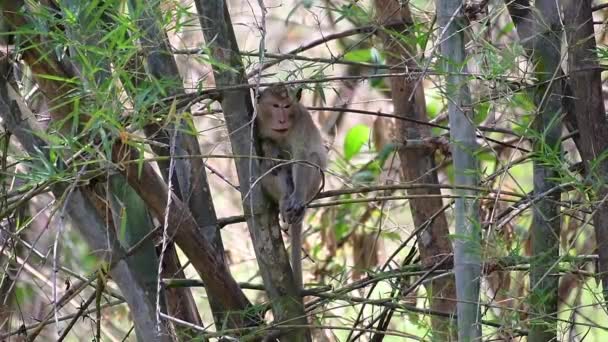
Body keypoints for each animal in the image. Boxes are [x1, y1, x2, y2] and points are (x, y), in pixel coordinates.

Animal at [253, 85, 326, 292]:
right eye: (275, 106)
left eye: (286, 106)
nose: (282, 119)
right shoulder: (257, 123)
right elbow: (265, 144)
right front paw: (270, 148)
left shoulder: (302, 121)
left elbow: (302, 157)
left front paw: (297, 198)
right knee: (270, 167)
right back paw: (284, 199)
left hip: (314, 186)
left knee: (311, 159)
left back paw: (296, 204)